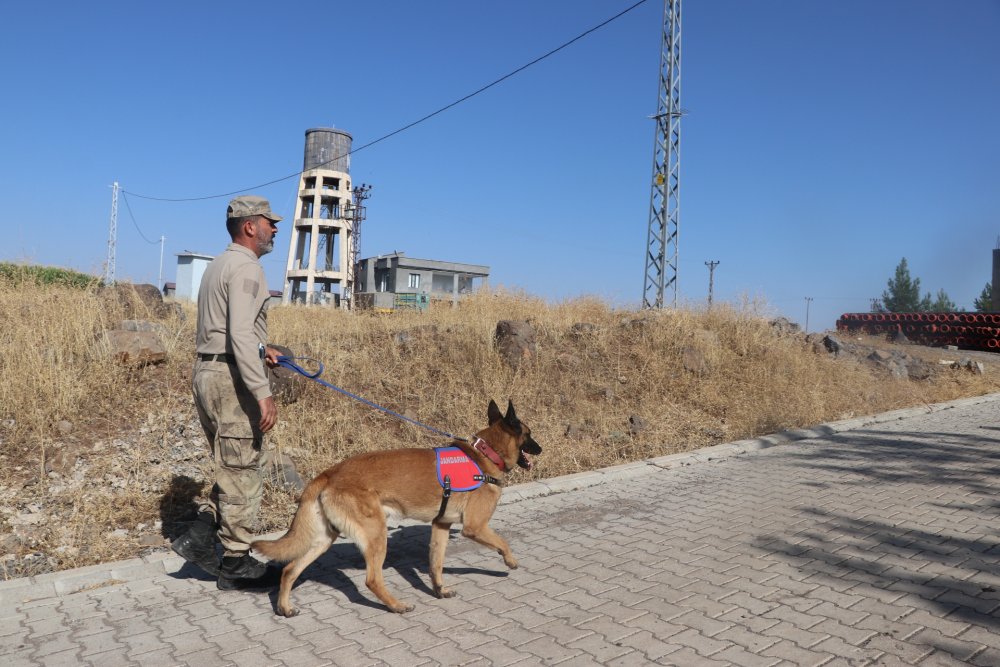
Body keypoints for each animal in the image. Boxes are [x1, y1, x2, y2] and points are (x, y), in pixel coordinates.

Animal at [254, 400, 544, 620]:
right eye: (529, 434)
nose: (540, 448)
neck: (485, 454)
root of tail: (330, 473)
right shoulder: (476, 527)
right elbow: (503, 542)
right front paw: (510, 561)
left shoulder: (440, 526)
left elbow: (436, 564)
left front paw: (439, 590)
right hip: (376, 534)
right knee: (372, 579)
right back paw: (396, 605)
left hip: (324, 539)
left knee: (290, 570)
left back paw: (284, 607)